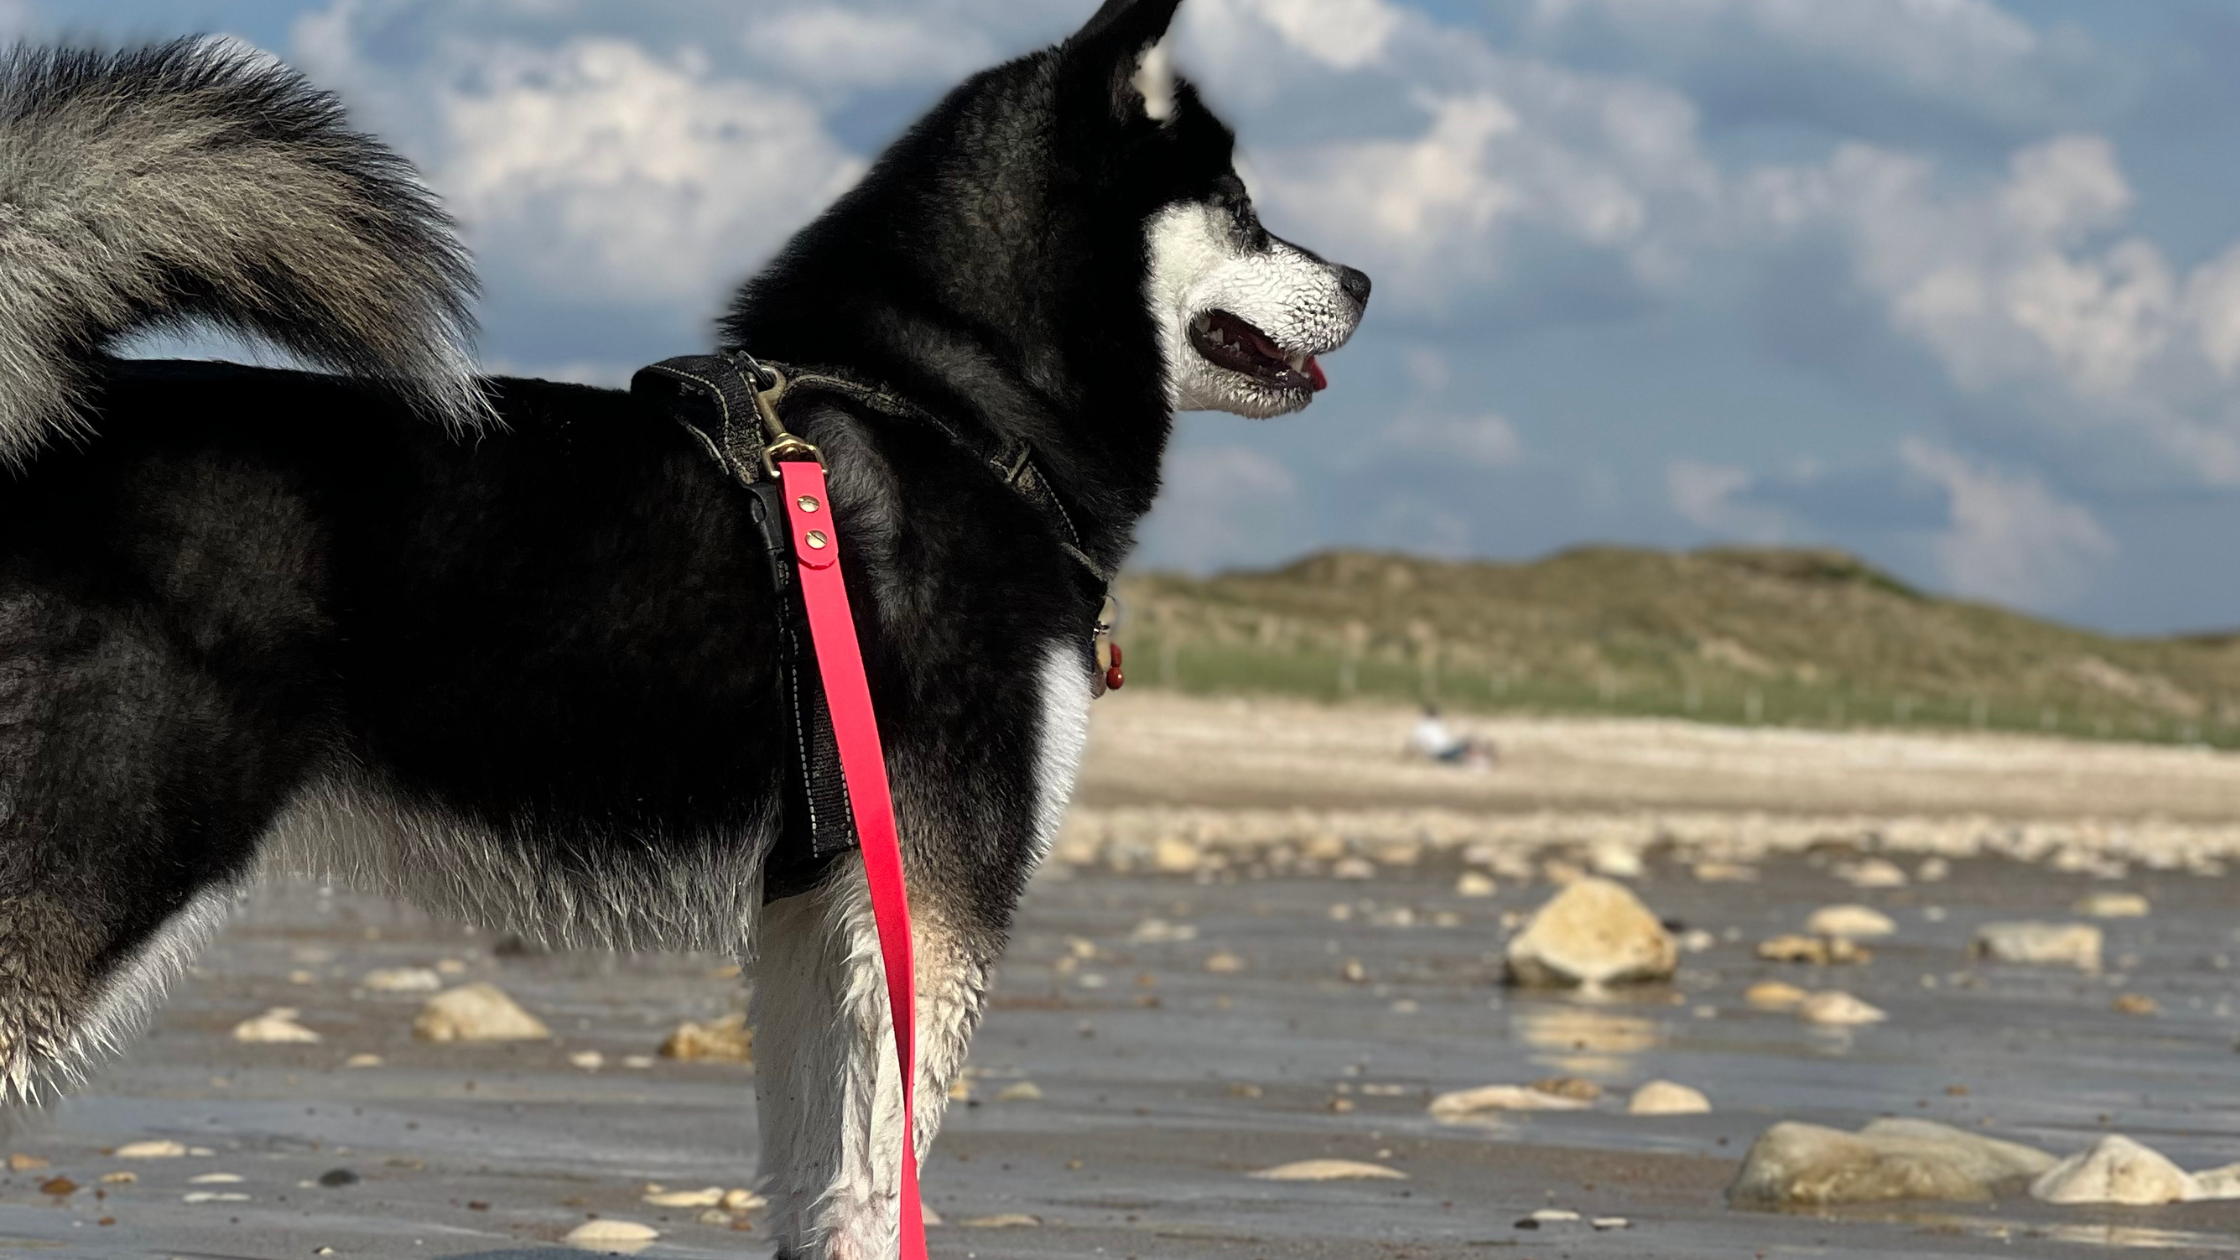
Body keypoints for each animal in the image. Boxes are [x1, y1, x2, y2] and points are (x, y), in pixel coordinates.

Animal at [0, 4, 1361, 1246]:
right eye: (1238, 201)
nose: (1359, 279)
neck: (952, 409)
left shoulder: (820, 918)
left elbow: (825, 1184)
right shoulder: (930, 906)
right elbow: (884, 1183)